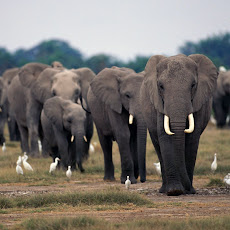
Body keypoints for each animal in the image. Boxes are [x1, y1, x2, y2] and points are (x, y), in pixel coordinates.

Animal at [139, 54, 218, 196]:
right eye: (161, 86)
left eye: (193, 85)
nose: (187, 188)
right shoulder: (160, 103)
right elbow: (164, 135)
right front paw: (174, 191)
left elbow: (192, 138)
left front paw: (188, 191)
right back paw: (163, 190)